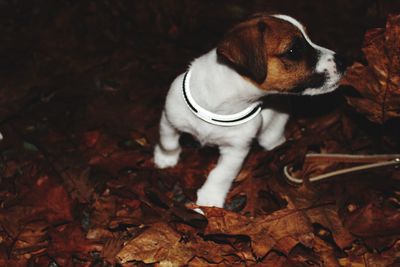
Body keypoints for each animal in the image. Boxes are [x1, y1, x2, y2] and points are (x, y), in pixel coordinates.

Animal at [152, 14, 346, 209]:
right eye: (293, 51)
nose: (343, 61)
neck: (222, 105)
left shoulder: (236, 150)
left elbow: (221, 174)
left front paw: (210, 197)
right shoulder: (170, 118)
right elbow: (168, 142)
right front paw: (165, 158)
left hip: (272, 134)